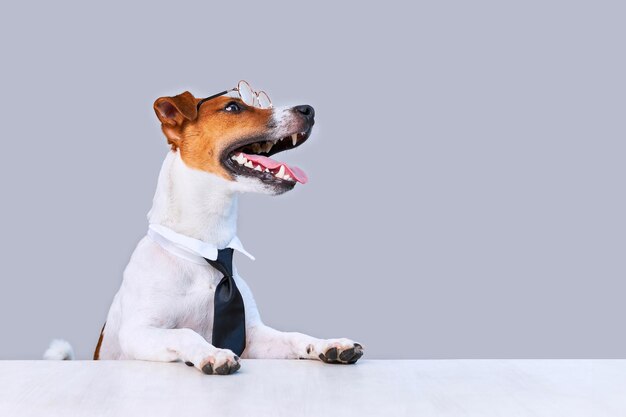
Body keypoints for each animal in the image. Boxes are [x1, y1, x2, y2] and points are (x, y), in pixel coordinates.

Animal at [45, 86, 360, 372]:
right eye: (233, 107)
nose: (308, 110)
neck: (207, 246)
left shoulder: (252, 335)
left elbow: (294, 336)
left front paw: (328, 344)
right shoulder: (138, 332)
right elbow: (185, 332)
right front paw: (214, 353)